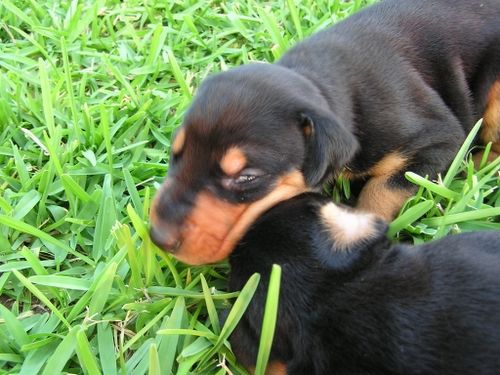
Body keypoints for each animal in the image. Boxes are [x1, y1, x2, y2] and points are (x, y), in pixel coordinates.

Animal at [150, 0, 500, 266]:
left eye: (247, 177)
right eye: (175, 155)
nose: (158, 237)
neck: (318, 80)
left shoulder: (438, 139)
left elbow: (381, 190)